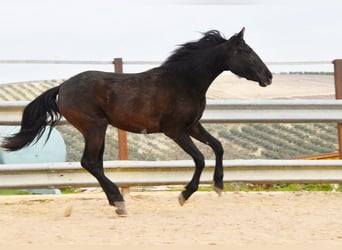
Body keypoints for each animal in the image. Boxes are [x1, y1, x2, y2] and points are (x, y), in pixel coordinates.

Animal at [0, 26, 272, 215]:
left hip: (98, 130)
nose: (268, 77)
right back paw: (119, 202)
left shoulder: (193, 126)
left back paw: (115, 202)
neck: (184, 81)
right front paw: (184, 194)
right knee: (89, 162)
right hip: (94, 127)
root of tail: (63, 87)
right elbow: (199, 158)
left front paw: (219, 185)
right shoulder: (175, 130)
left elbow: (218, 146)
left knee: (96, 164)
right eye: (247, 52)